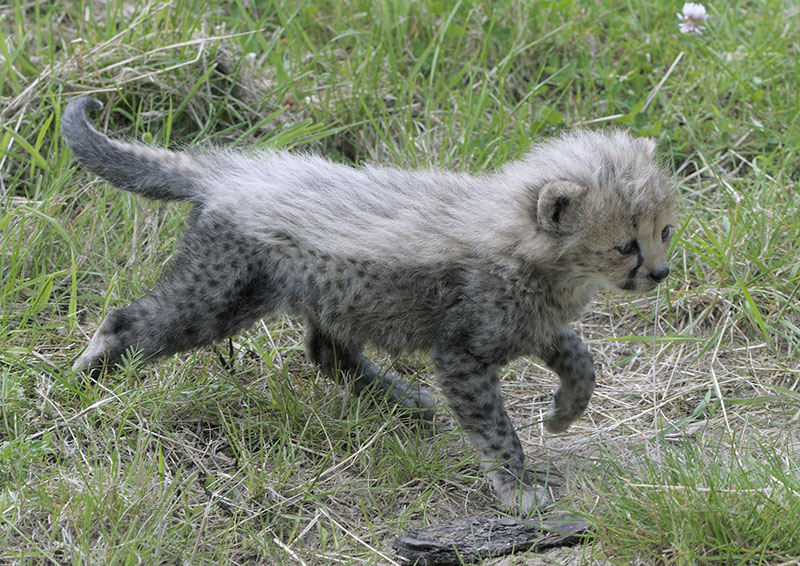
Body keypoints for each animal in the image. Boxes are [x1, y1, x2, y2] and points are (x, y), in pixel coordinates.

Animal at [62, 96, 675, 514]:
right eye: (626, 245)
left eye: (664, 232)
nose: (661, 273)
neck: (528, 245)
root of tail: (229, 172)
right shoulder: (463, 353)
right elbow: (495, 426)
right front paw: (516, 486)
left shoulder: (528, 326)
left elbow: (579, 359)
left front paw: (563, 412)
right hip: (219, 292)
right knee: (128, 323)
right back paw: (84, 378)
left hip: (335, 294)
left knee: (326, 351)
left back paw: (403, 400)